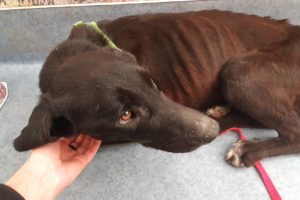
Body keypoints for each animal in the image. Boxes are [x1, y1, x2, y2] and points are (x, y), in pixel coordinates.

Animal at [13, 10, 300, 167]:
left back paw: (246, 149)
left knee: (294, 131)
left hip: (237, 73)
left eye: (151, 83)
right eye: (125, 115)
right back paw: (220, 114)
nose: (209, 131)